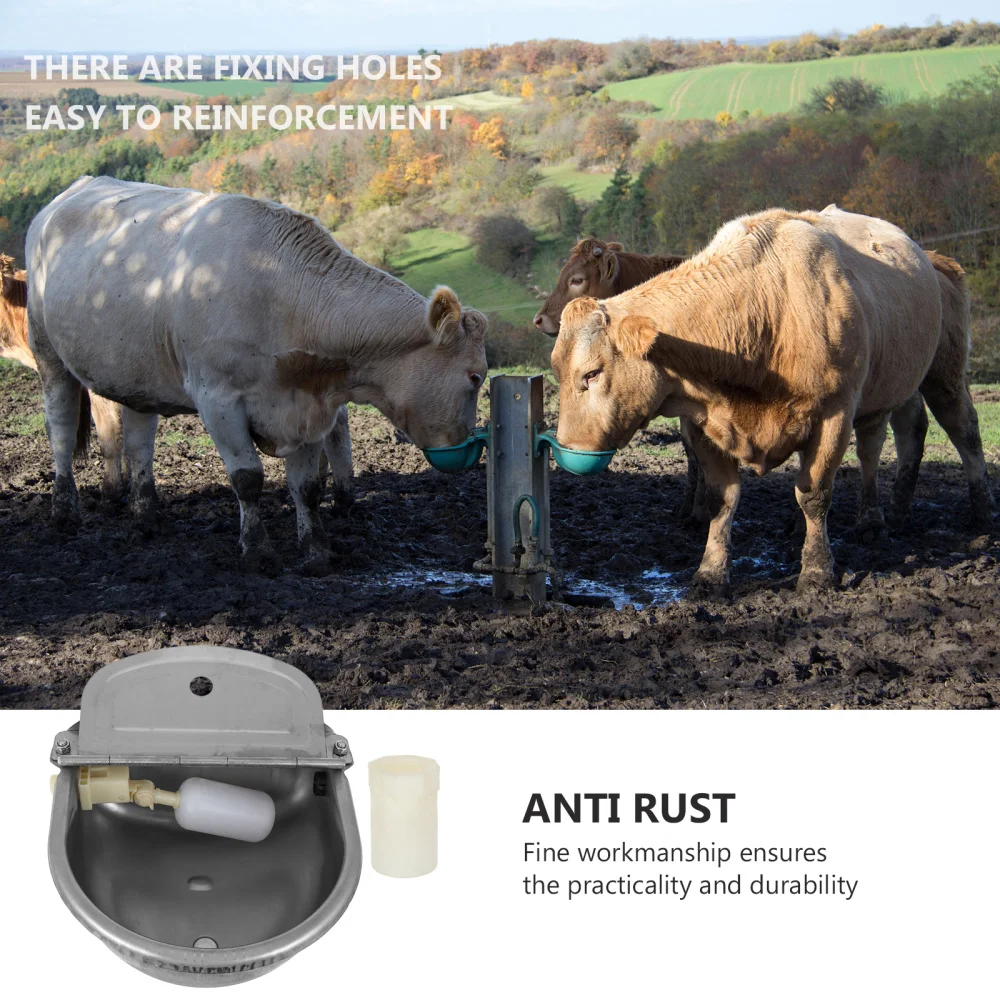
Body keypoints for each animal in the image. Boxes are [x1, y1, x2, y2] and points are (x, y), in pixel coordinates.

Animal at [551, 206, 993, 592]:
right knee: (883, 444)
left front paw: (816, 572)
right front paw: (711, 573)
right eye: (556, 370)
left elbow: (814, 493)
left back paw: (979, 514)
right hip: (885, 390)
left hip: (944, 375)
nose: (571, 447)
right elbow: (722, 499)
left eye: (592, 372)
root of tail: (934, 260)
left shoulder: (834, 411)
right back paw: (884, 516)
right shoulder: (705, 422)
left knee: (962, 431)